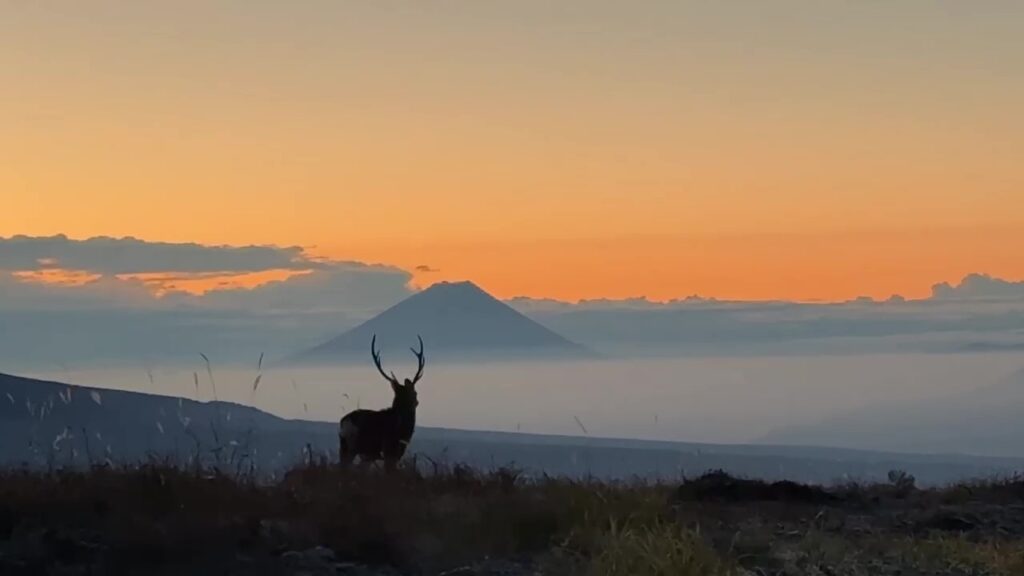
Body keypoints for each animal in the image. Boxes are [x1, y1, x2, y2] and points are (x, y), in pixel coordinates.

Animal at [338, 334, 425, 470]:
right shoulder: (391, 449)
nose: (417, 402)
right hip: (353, 445)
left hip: (347, 447)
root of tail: (343, 423)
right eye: (415, 392)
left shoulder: (372, 455)